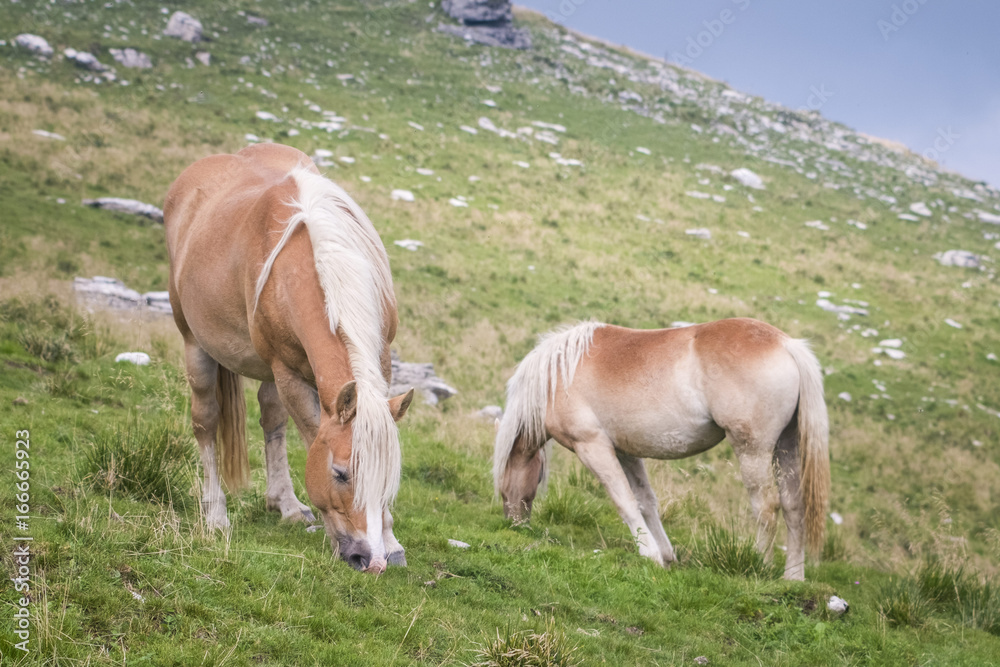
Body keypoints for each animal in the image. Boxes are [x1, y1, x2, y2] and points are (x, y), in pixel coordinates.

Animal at [164, 145, 414, 576]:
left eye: (388, 479)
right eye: (340, 474)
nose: (370, 560)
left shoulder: (380, 362)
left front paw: (392, 542)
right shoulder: (290, 376)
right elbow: (312, 435)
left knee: (271, 418)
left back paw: (285, 503)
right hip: (195, 344)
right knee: (206, 422)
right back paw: (215, 515)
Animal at [492, 318, 828, 580]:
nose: (514, 523)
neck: (560, 374)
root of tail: (786, 345)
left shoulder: (593, 447)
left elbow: (624, 501)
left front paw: (649, 554)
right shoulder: (625, 452)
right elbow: (645, 501)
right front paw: (665, 556)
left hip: (752, 449)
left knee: (766, 507)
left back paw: (759, 565)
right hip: (786, 447)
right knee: (793, 506)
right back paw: (792, 577)